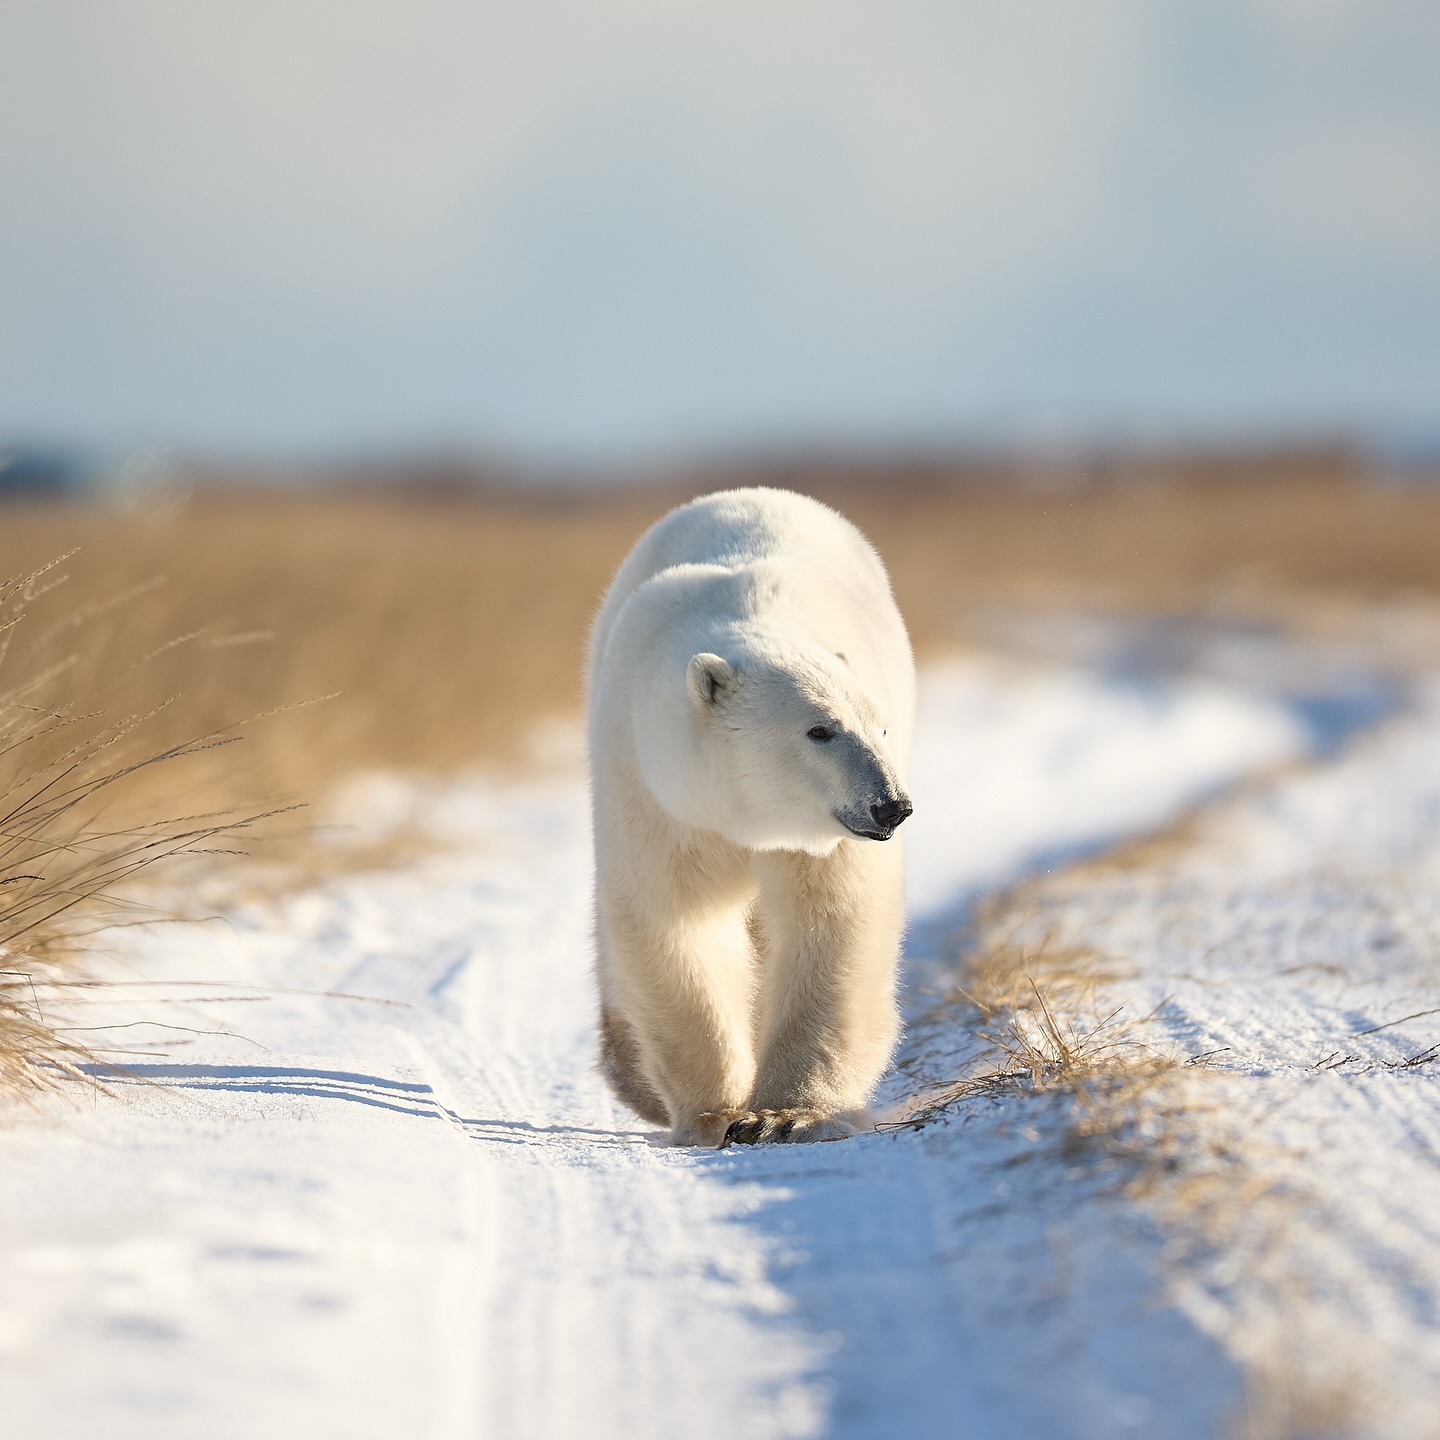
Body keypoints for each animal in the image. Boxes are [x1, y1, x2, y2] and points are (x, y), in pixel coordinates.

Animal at [587, 487, 916, 1147]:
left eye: (880, 727)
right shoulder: (656, 794)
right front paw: (712, 1113)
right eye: (820, 730)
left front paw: (784, 1115)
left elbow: (832, 922)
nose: (891, 804)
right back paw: (631, 1074)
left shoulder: (826, 837)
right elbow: (675, 922)